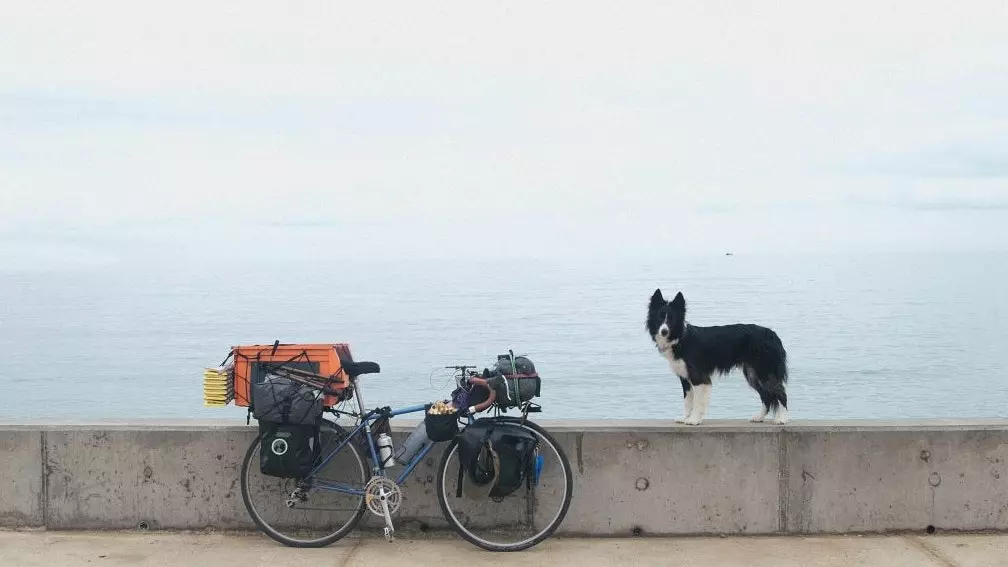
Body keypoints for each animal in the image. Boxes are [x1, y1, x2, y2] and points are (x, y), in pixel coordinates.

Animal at [649, 286, 790, 423]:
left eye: (671, 319)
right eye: (660, 318)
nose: (664, 331)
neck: (680, 338)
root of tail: (773, 335)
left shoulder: (698, 376)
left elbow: (698, 401)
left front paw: (694, 420)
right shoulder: (684, 376)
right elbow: (687, 400)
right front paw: (684, 418)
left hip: (764, 370)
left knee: (781, 392)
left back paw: (782, 419)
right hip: (752, 373)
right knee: (766, 396)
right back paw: (759, 417)